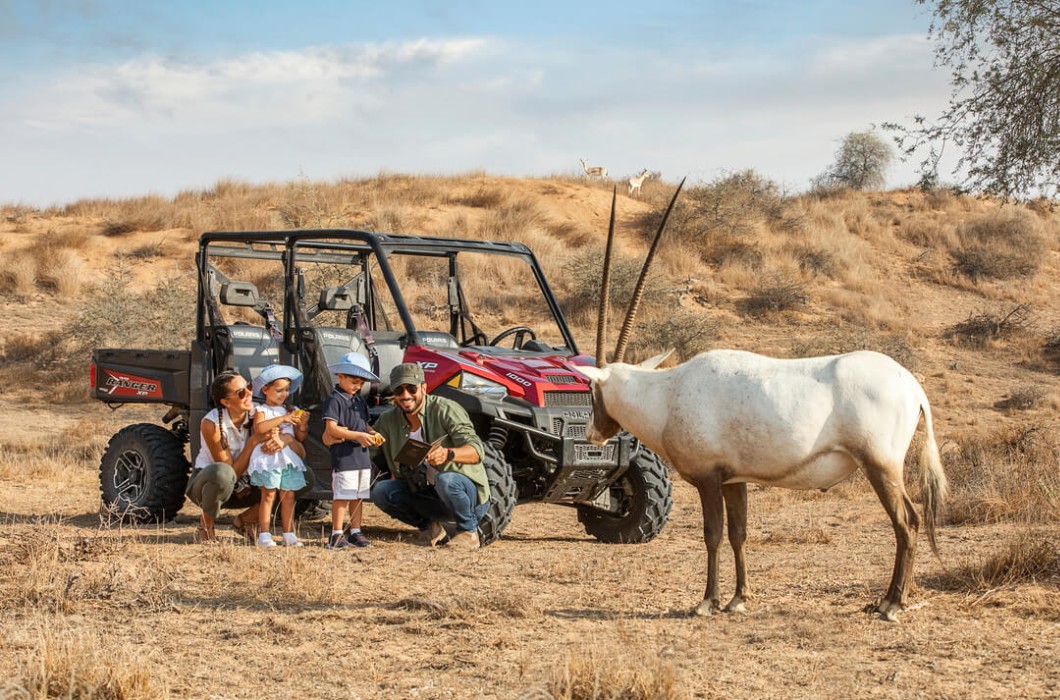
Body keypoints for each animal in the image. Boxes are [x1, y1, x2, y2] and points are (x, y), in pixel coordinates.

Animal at [576, 181, 949, 623]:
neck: (666, 393)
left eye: (591, 390)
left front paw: (706, 601)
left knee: (906, 522)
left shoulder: (709, 478)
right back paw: (893, 599)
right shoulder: (735, 479)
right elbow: (739, 533)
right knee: (912, 520)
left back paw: (891, 604)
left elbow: (713, 535)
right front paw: (739, 597)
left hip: (880, 465)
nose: (592, 432)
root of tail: (911, 385)